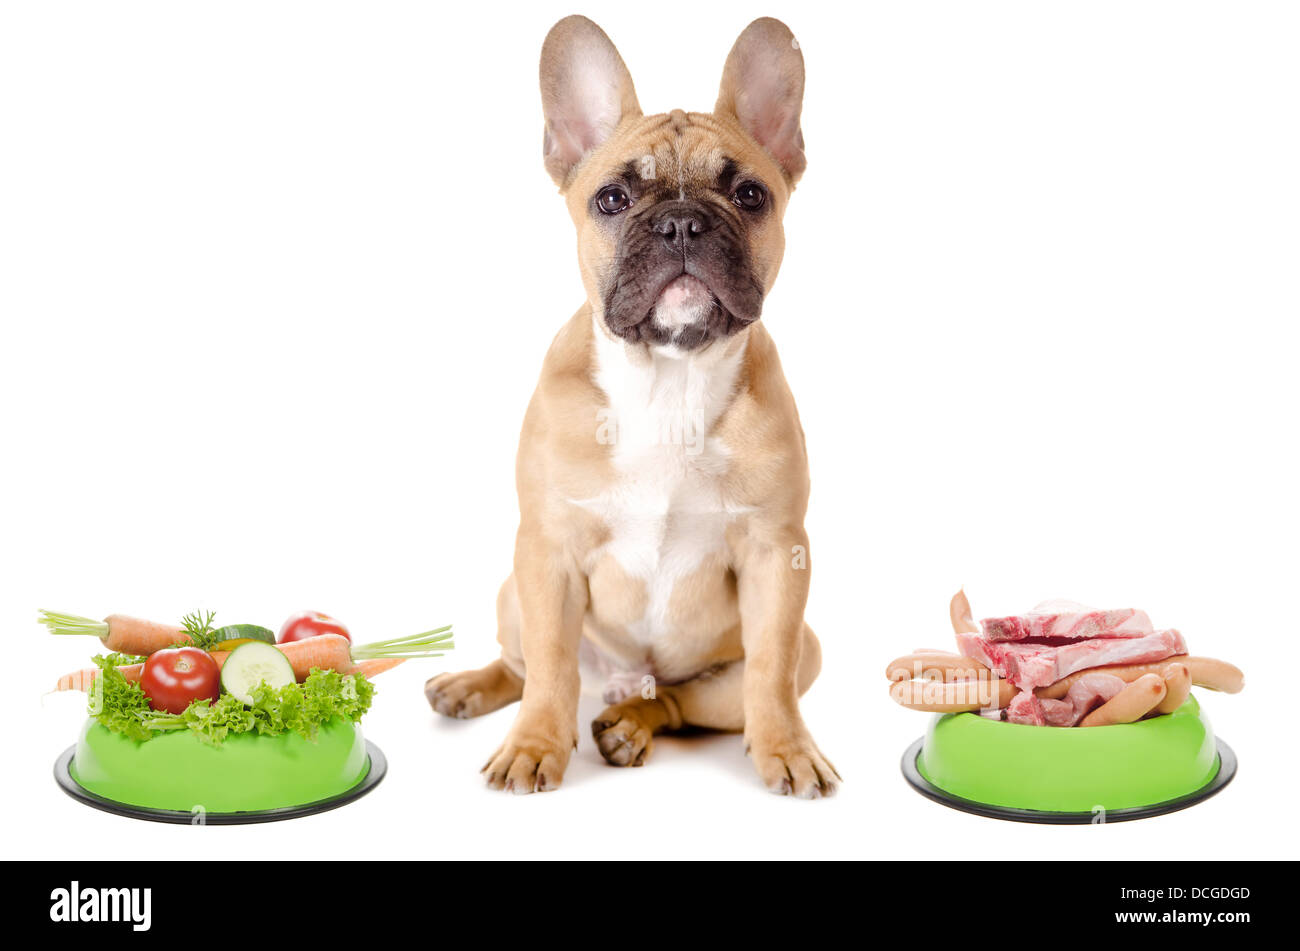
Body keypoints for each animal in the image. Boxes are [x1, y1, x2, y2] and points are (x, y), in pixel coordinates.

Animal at [421, 18, 837, 800]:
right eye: (613, 199)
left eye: (750, 193)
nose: (681, 223)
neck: (669, 378)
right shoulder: (547, 551)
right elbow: (551, 669)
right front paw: (533, 744)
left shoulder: (776, 555)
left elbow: (769, 674)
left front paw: (788, 748)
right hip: (512, 595)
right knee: (525, 667)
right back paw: (473, 686)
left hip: (801, 652)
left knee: (679, 702)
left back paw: (629, 728)